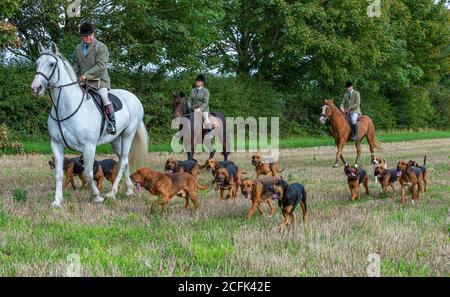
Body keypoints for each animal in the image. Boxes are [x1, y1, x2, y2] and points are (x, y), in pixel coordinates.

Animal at [31, 41, 148, 206]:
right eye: (37, 63)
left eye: (52, 64)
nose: (36, 88)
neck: (65, 108)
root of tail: (134, 97)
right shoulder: (56, 144)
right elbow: (58, 174)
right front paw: (57, 201)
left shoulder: (89, 146)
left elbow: (88, 173)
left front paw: (96, 196)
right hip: (115, 139)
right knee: (123, 161)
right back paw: (129, 189)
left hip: (128, 134)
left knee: (124, 160)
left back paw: (112, 193)